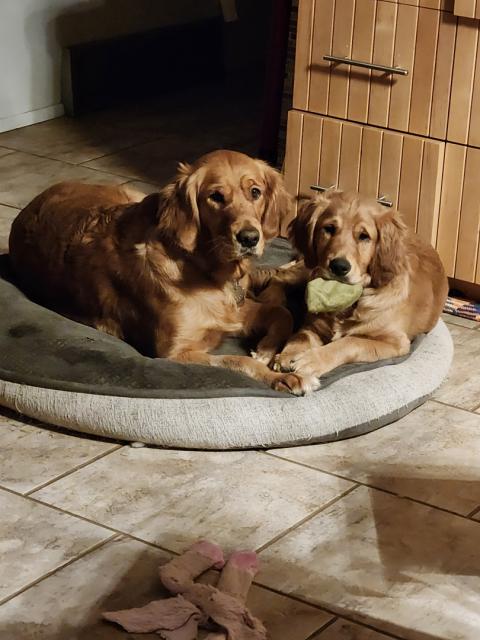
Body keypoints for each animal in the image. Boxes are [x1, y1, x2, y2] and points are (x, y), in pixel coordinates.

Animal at [9, 150, 298, 388]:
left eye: (255, 192)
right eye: (215, 197)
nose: (249, 238)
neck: (200, 266)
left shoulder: (235, 312)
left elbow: (282, 313)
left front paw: (268, 350)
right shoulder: (174, 353)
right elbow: (237, 361)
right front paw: (278, 377)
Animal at [262, 188, 446, 392]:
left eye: (364, 236)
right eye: (329, 228)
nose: (339, 266)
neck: (349, 302)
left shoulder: (396, 341)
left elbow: (350, 342)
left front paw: (310, 360)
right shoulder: (312, 325)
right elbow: (300, 336)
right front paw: (287, 354)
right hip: (309, 269)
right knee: (279, 277)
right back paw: (271, 299)